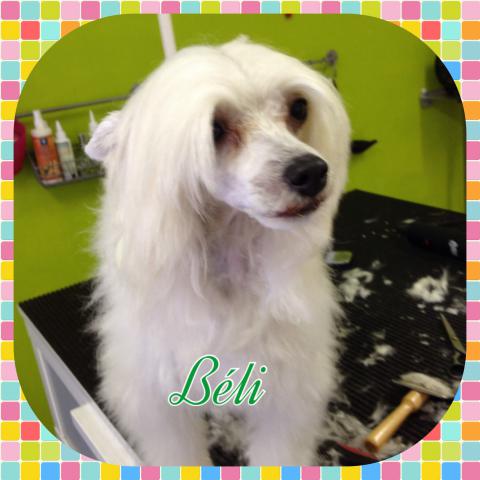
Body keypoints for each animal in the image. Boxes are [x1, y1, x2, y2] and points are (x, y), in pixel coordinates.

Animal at [86, 37, 351, 466]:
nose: (311, 171)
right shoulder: (157, 399)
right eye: (214, 128)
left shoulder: (287, 391)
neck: (230, 251)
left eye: (298, 108)